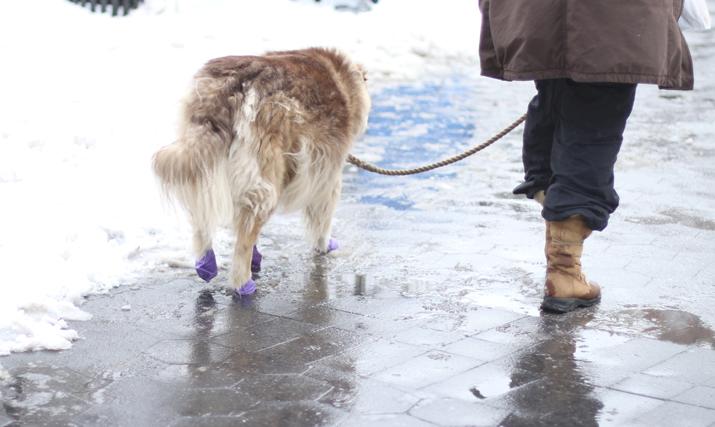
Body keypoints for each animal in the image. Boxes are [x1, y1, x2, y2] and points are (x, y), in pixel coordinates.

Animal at [153, 48, 372, 298]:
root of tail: (233, 83)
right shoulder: (326, 171)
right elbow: (323, 216)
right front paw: (324, 245)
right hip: (266, 172)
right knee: (246, 234)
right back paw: (243, 284)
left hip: (201, 160)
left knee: (203, 216)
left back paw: (206, 263)